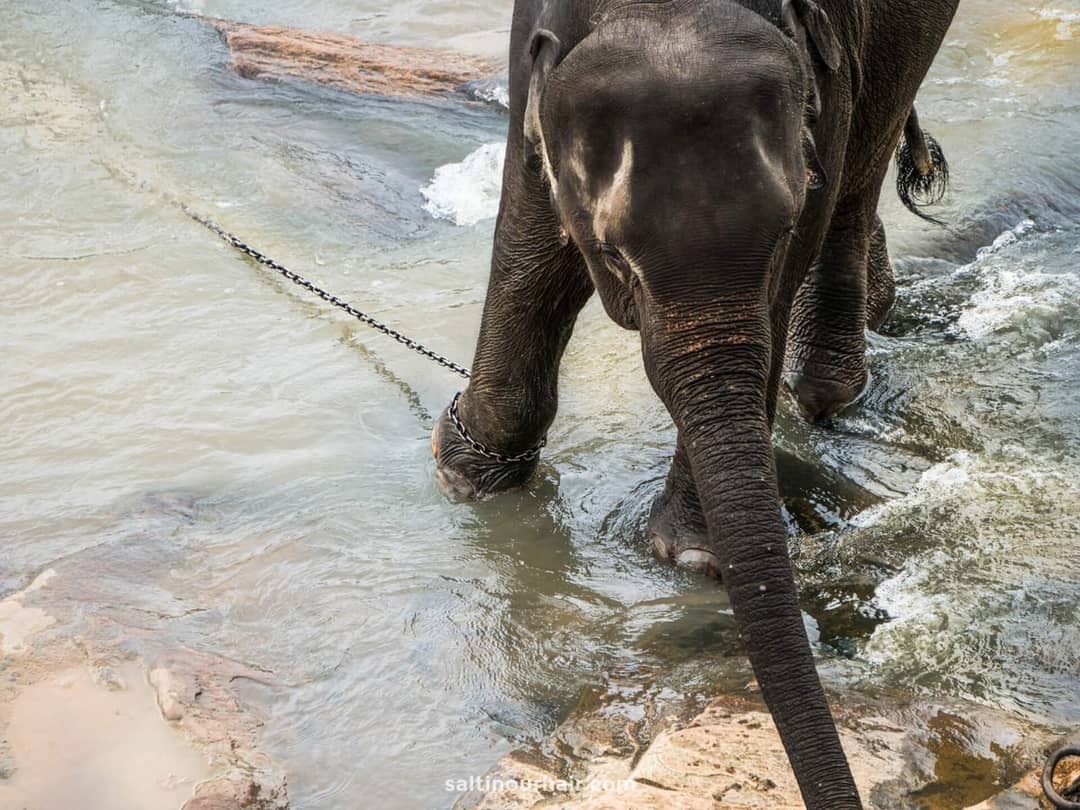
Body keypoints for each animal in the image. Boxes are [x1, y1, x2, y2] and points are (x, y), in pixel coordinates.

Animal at [430, 0, 957, 807]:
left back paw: (827, 382)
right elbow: (531, 228)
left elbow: (786, 268)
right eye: (614, 252)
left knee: (863, 165)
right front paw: (468, 471)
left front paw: (689, 554)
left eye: (783, 227)